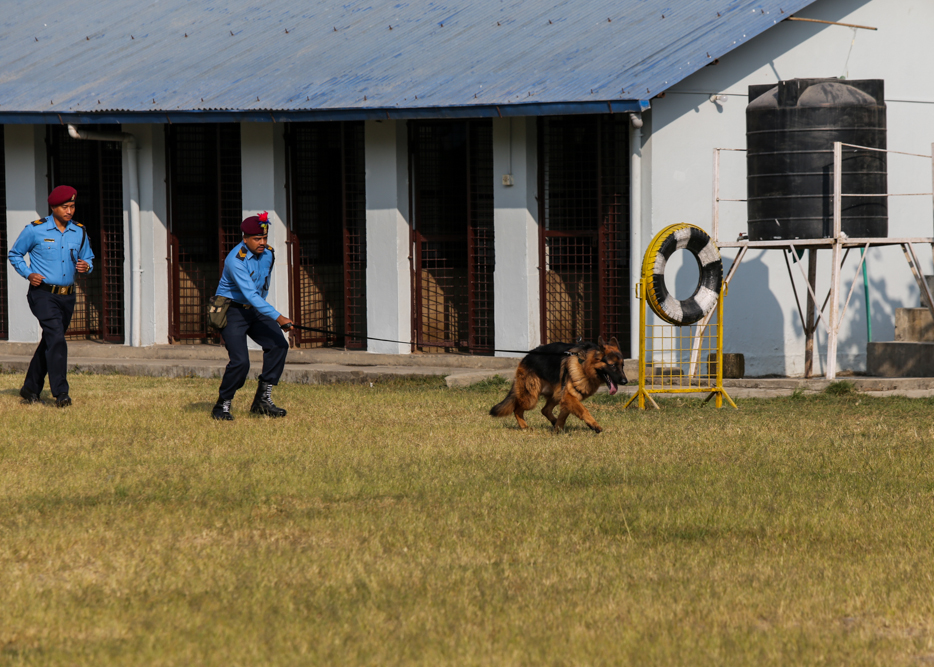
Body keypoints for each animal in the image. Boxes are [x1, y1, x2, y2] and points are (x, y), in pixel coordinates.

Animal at [490, 334, 628, 434]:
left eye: (622, 366)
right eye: (612, 366)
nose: (625, 382)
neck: (584, 364)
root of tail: (527, 356)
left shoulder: (567, 397)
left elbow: (563, 415)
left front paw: (558, 429)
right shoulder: (569, 397)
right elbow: (584, 410)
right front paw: (594, 425)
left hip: (556, 394)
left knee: (545, 410)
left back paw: (553, 423)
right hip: (531, 398)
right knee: (517, 409)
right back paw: (524, 426)